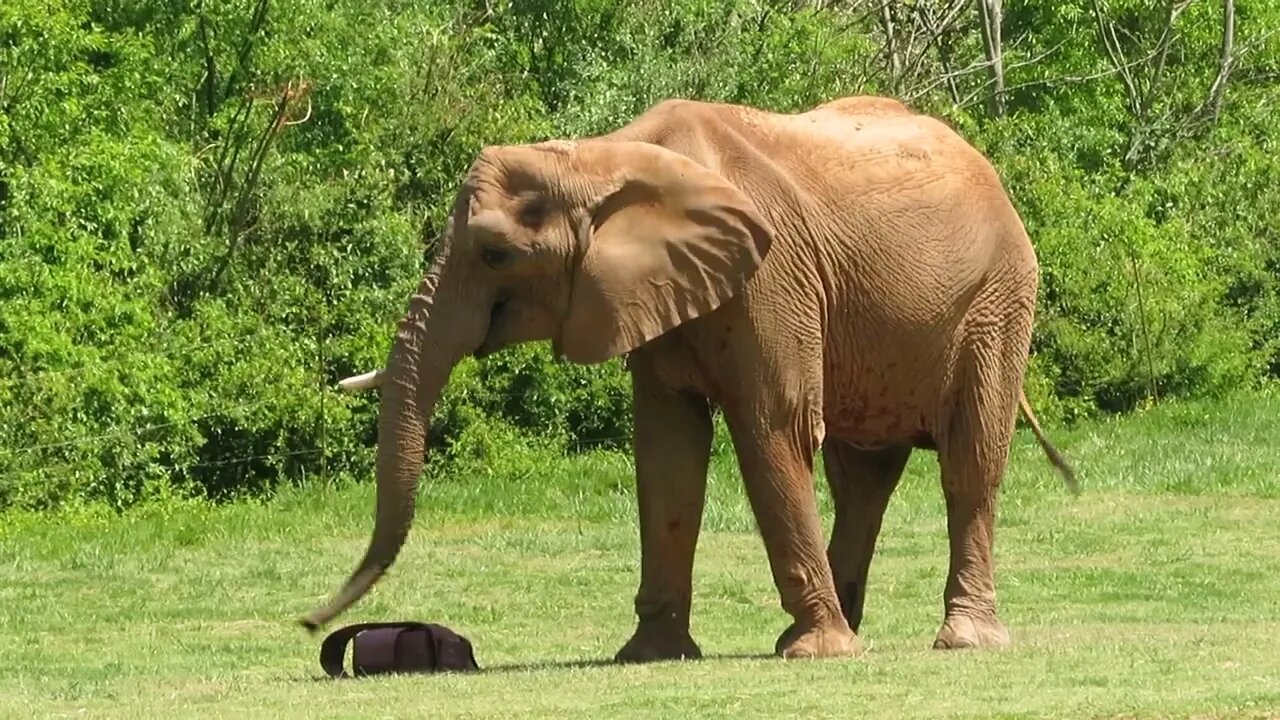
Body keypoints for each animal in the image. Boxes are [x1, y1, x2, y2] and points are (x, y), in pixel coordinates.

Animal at [304, 96, 1075, 661]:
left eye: (495, 255)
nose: (312, 624)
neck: (604, 155)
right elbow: (668, 451)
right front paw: (650, 654)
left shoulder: (772, 279)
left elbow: (773, 429)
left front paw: (814, 656)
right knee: (864, 479)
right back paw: (841, 628)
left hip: (998, 299)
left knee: (968, 462)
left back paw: (956, 640)